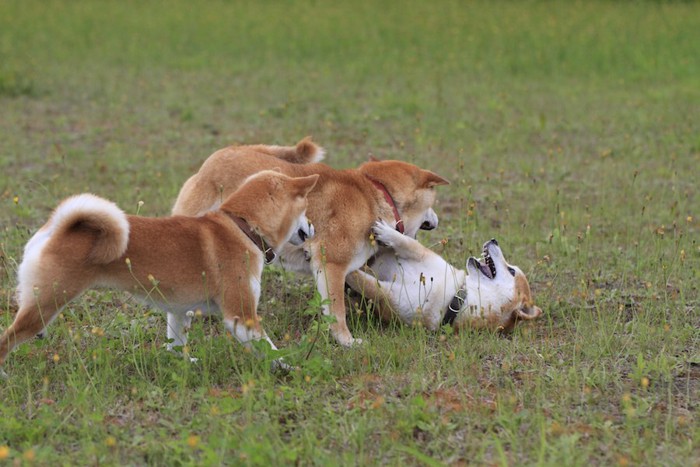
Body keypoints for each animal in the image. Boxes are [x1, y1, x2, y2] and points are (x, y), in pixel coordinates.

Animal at [0, 170, 318, 374]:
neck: (242, 227)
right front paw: (288, 368)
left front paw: (183, 365)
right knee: (7, 339)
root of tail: (56, 228)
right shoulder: (241, 316)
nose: (314, 227)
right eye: (307, 209)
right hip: (45, 305)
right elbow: (270, 349)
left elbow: (176, 345)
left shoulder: (179, 311)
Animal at [172, 137, 452, 346]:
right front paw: (347, 341)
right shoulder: (332, 265)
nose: (437, 221)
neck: (376, 194)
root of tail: (223, 153)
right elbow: (338, 312)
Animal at [348, 221, 544, 330]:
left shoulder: (392, 296)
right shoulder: (421, 254)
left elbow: (366, 284)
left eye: (512, 271)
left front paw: (349, 270)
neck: (454, 293)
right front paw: (389, 233)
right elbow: (406, 242)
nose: (494, 240)